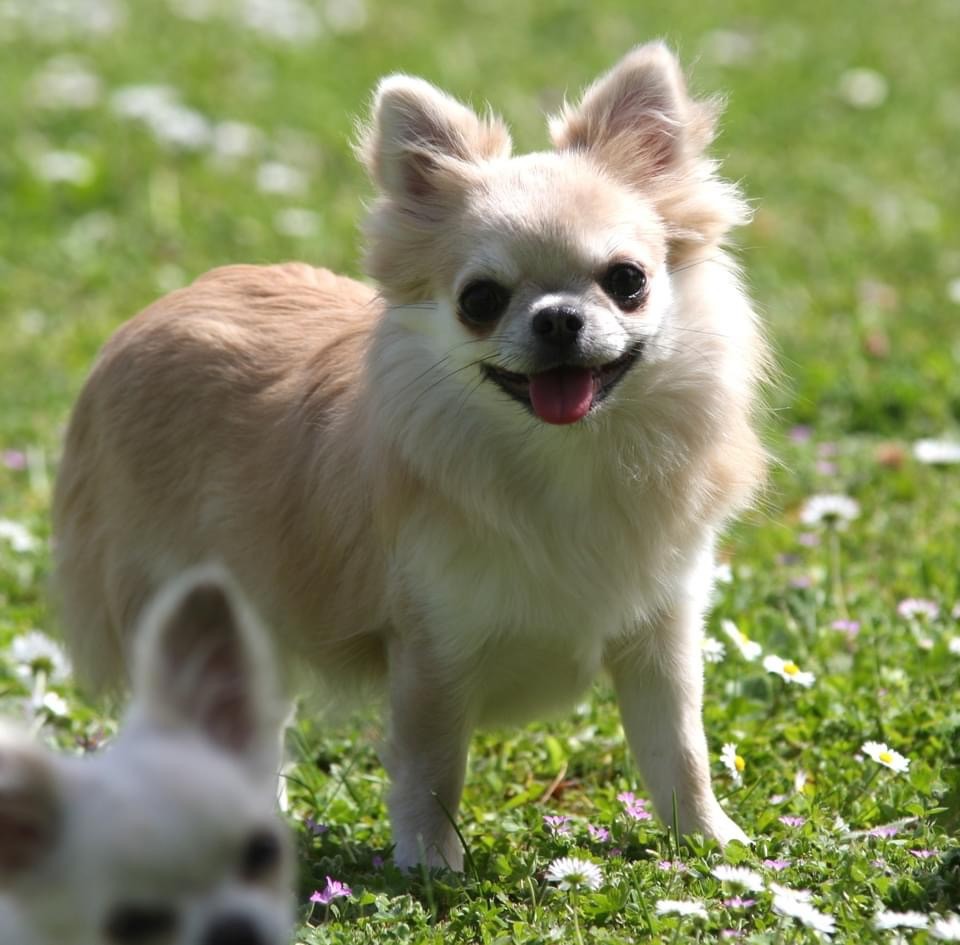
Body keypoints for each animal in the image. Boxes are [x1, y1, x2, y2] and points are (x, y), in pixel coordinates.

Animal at [56, 46, 768, 872]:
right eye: (480, 300)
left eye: (628, 280)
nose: (559, 318)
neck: (565, 457)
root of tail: (151, 315)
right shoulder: (432, 644)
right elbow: (434, 764)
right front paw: (431, 864)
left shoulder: (662, 633)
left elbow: (678, 746)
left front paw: (712, 842)